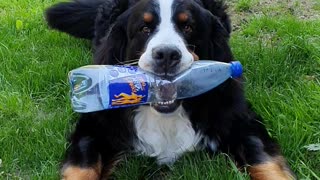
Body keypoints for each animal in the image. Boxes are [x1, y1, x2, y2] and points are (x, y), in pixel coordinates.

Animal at [45, 0, 296, 179]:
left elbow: (265, 162)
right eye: (145, 28)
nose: (166, 54)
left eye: (188, 26)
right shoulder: (93, 125)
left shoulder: (241, 120)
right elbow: (82, 168)